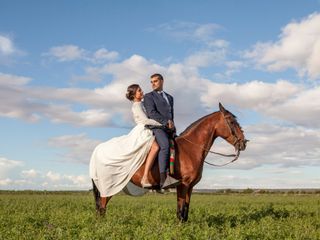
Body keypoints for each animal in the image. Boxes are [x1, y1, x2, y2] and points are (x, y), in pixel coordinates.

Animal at [92, 102, 248, 222]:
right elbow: (180, 211)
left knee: (101, 207)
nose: (244, 143)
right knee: (102, 207)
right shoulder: (183, 185)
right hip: (109, 185)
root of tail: (98, 151)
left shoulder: (190, 187)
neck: (190, 149)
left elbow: (185, 211)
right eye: (231, 121)